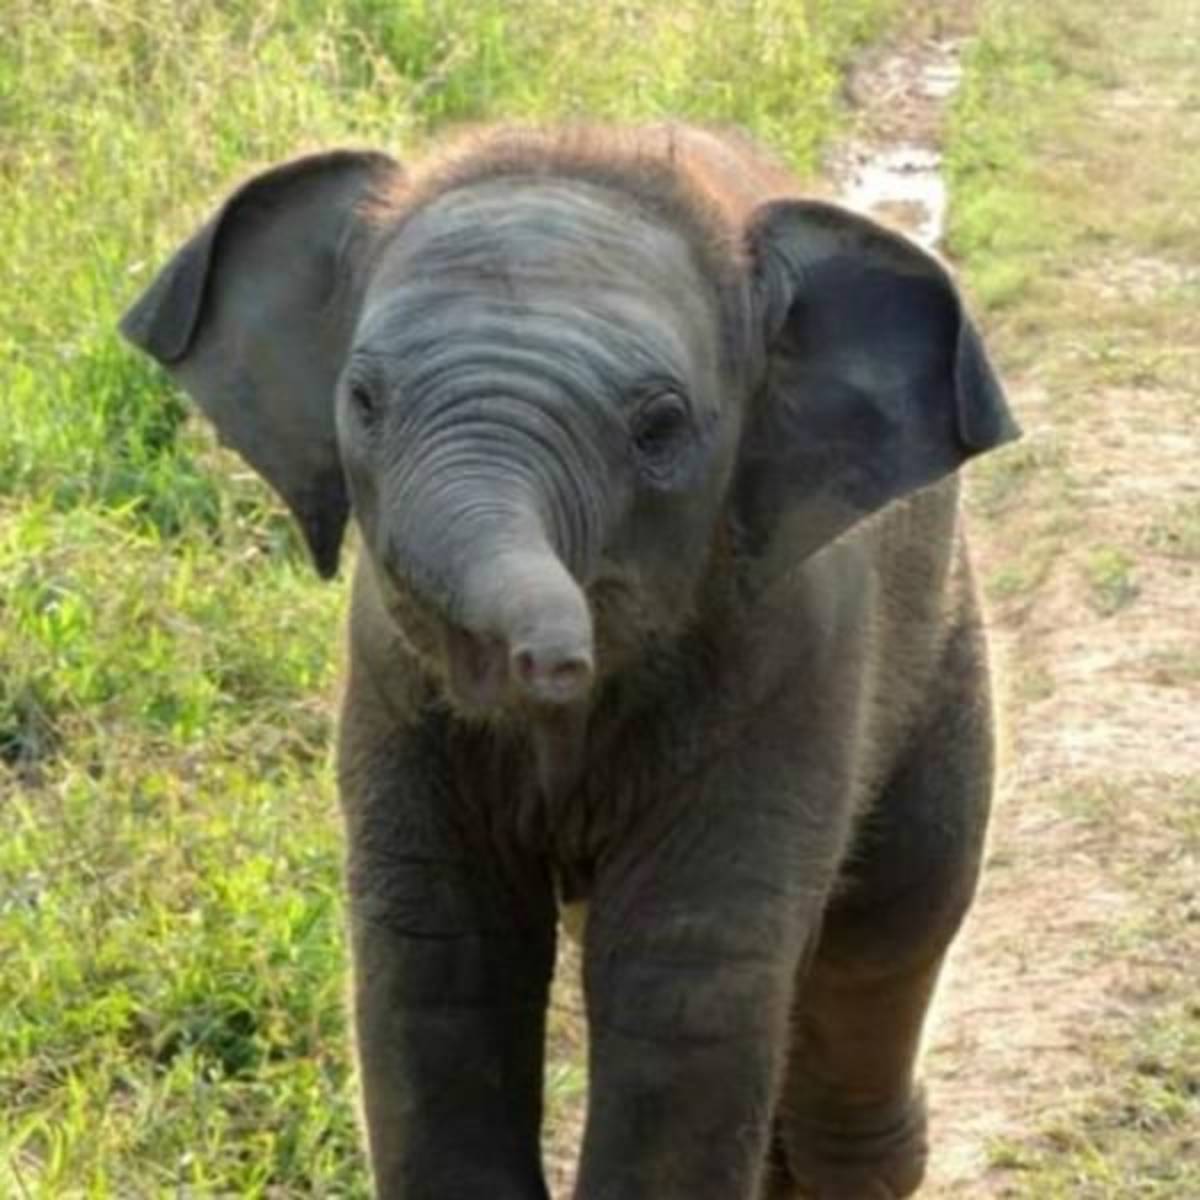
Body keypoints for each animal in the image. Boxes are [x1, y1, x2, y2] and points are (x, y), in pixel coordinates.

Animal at [120, 125, 1018, 1199]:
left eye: (659, 427)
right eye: (363, 400)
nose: (551, 664)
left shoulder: (792, 655)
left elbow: (683, 976)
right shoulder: (389, 676)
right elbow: (441, 957)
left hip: (943, 663)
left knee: (887, 935)